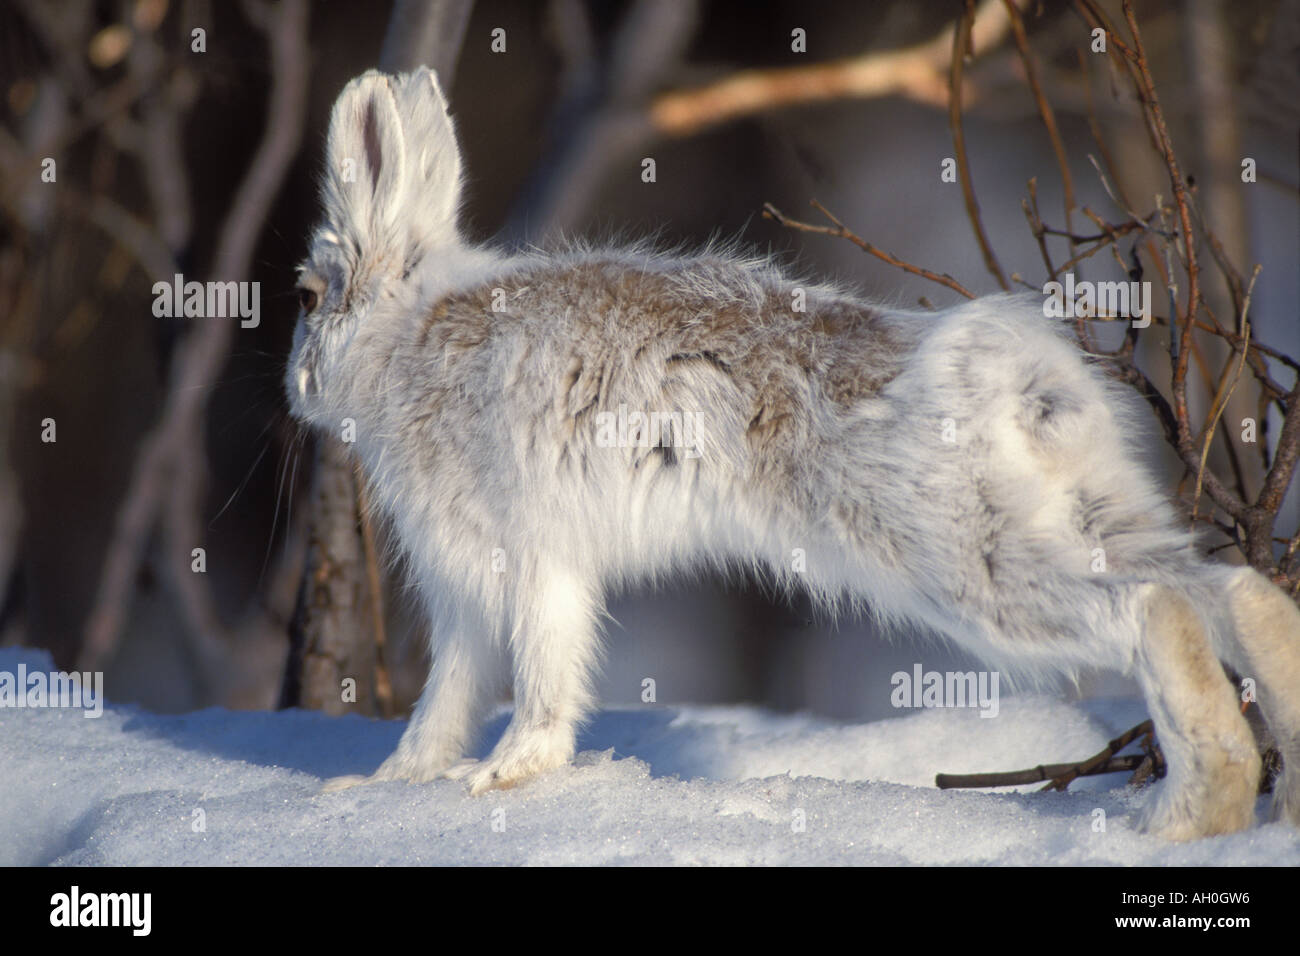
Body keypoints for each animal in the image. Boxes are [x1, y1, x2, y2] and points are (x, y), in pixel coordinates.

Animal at [285, 67, 1300, 841]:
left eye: (302, 296)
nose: (295, 384)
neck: (408, 328)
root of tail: (1029, 387)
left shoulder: (518, 557)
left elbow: (515, 684)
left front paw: (483, 780)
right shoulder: (487, 584)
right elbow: (457, 694)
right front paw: (395, 787)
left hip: (964, 557)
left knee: (1153, 608)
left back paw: (1190, 816)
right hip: (1082, 515)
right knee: (1223, 590)